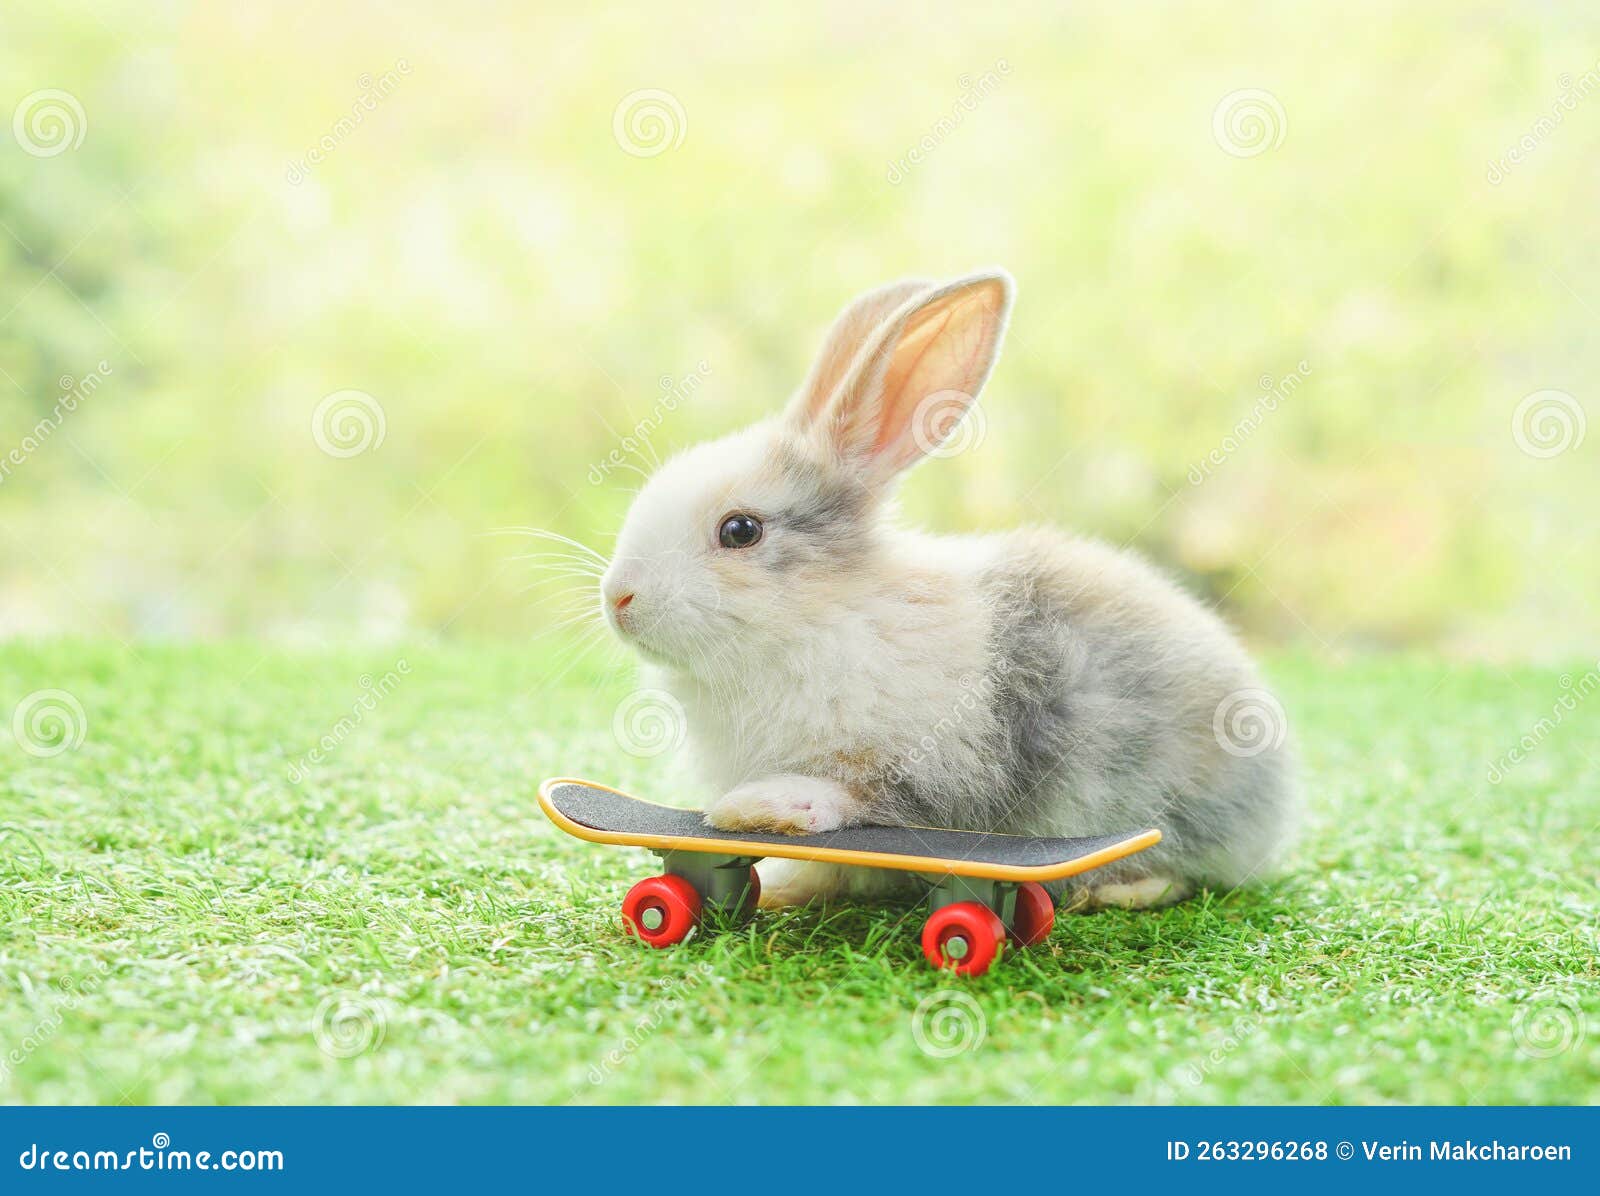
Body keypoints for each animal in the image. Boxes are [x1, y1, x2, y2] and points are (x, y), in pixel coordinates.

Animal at [598, 270, 1297, 909]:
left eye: (740, 530)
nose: (618, 600)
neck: (821, 616)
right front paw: (777, 885)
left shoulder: (938, 762)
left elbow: (867, 800)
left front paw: (760, 809)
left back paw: (1118, 890)